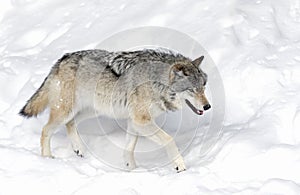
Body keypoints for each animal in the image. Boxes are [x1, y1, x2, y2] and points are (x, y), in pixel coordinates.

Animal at [19, 49, 211, 172]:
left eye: (203, 87)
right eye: (192, 90)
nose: (207, 107)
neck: (156, 82)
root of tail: (62, 59)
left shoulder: (134, 121)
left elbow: (129, 149)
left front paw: (132, 170)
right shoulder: (141, 120)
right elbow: (169, 140)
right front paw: (179, 165)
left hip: (91, 111)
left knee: (70, 124)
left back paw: (78, 150)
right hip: (66, 111)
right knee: (46, 130)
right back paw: (46, 159)